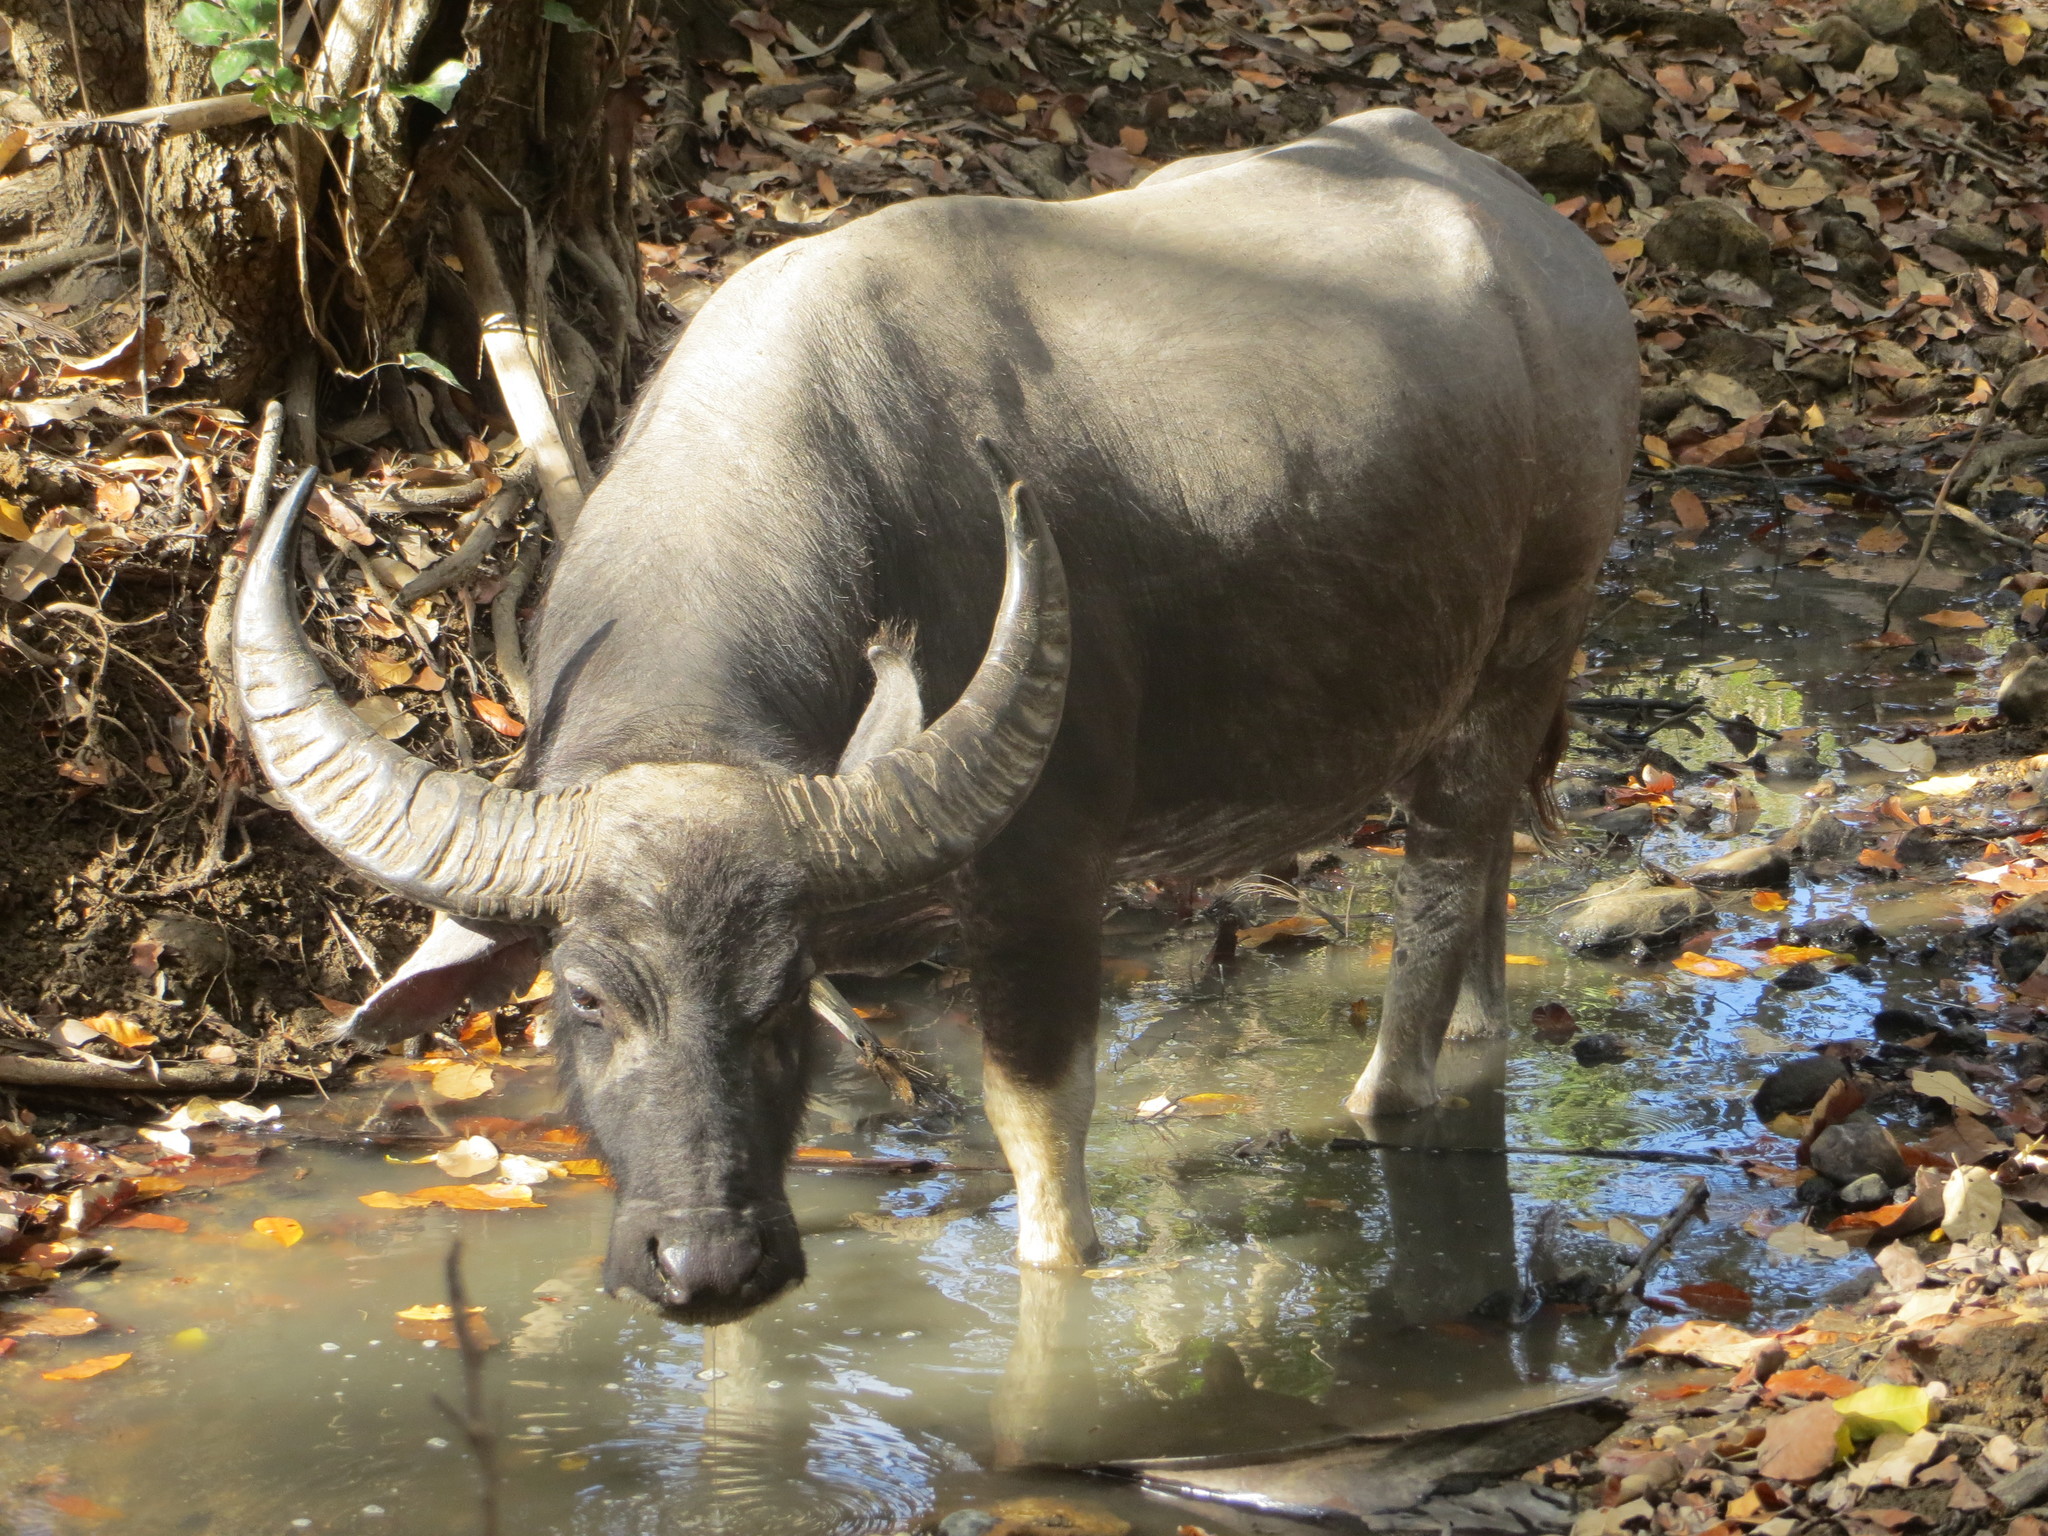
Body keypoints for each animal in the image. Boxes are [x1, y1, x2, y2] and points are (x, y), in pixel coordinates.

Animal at [235, 105, 1630, 1327]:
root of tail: (1546, 250)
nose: (703, 1263)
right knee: (1488, 868)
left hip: (1530, 632)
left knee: (1439, 879)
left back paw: (1390, 1090)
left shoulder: (1045, 870)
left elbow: (1041, 1141)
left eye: (775, 995)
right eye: (582, 996)